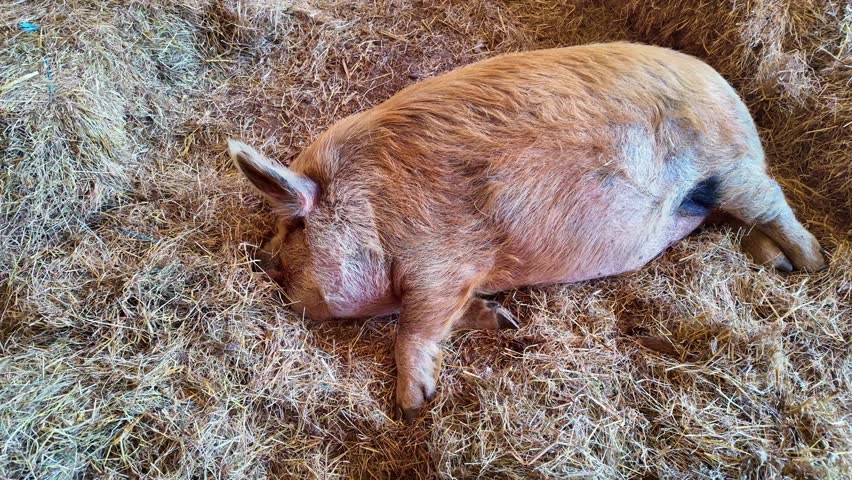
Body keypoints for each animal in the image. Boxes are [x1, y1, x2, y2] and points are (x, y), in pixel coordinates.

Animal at [228, 42, 827, 421]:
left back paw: (808, 264)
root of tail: (732, 94)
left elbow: (414, 326)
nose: (264, 260)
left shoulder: (440, 262)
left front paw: (413, 405)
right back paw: (772, 260)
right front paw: (505, 321)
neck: (373, 211)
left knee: (775, 205)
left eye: (294, 225)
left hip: (730, 169)